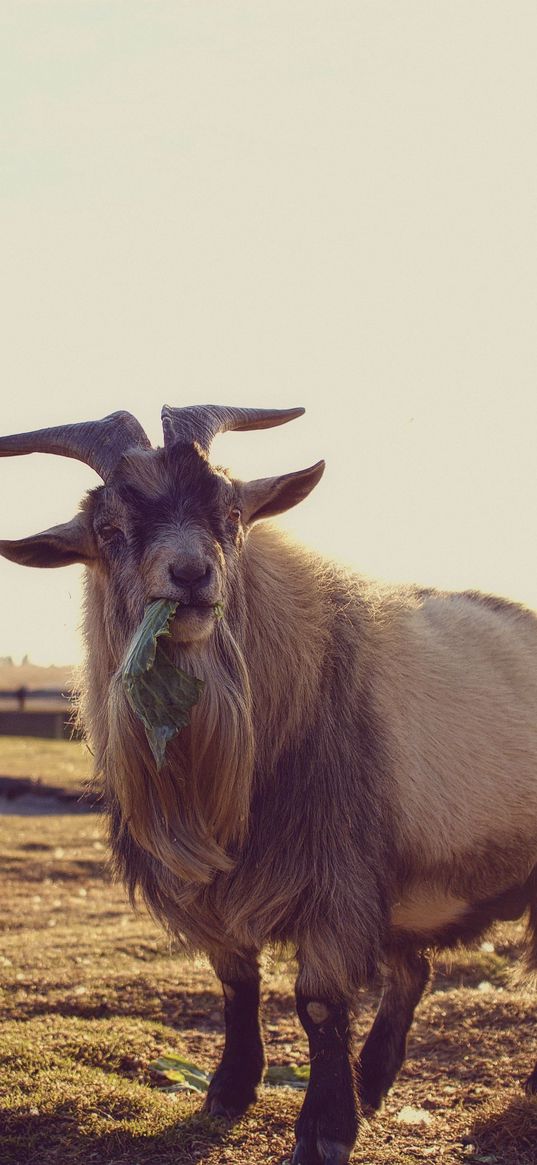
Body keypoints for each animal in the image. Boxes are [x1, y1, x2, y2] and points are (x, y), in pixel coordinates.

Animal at [1, 403, 535, 1165]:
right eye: (108, 529)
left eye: (230, 511)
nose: (191, 574)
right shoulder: (230, 890)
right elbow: (235, 982)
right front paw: (229, 1089)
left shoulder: (336, 876)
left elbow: (316, 1001)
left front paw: (324, 1128)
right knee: (413, 971)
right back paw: (374, 1079)